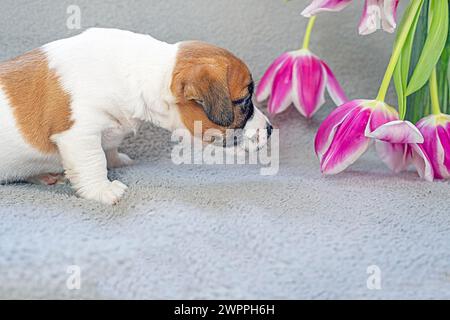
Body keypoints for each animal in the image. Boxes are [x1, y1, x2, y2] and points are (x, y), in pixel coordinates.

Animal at [0, 26, 272, 202]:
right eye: (243, 100)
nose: (270, 129)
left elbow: (108, 149)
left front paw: (116, 159)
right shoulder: (79, 134)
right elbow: (93, 161)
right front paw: (102, 190)